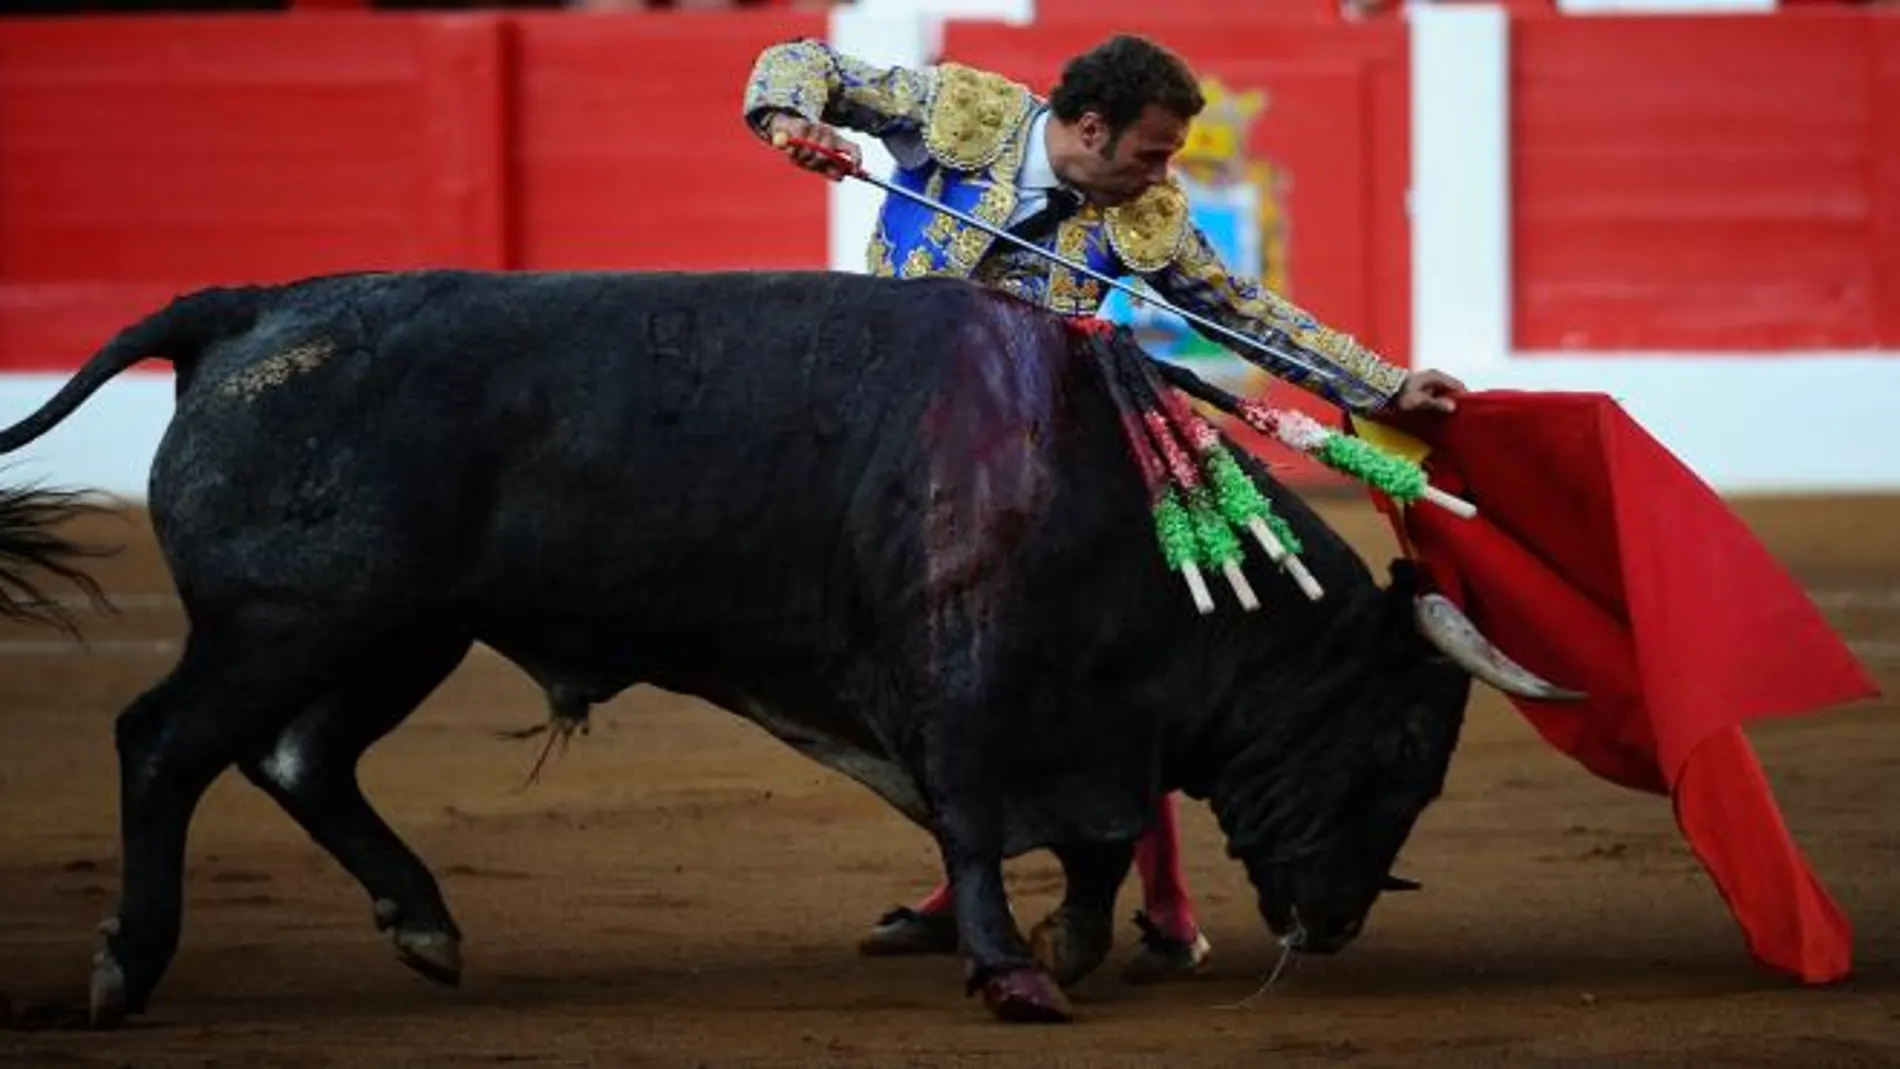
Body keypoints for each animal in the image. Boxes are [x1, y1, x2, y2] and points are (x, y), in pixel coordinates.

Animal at [0, 267, 1573, 1025]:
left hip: (396, 631)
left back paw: (426, 926)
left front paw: (1073, 943)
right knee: (165, 744)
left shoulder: (1088, 725)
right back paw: (124, 969)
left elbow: (1100, 834)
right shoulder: (969, 685)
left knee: (299, 758)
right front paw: (1012, 973)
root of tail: (252, 307)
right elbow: (977, 825)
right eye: (1407, 737)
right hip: (291, 620)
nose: (1341, 917)